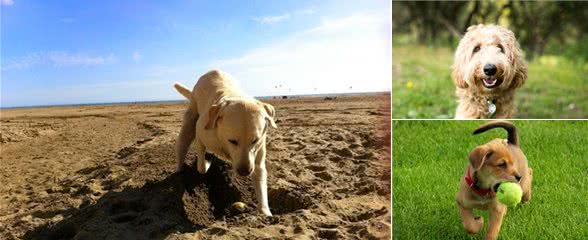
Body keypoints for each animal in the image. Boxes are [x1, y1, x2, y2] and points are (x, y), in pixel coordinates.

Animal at [173, 69, 276, 216]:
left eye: (255, 140)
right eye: (232, 141)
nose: (244, 171)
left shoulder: (258, 157)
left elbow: (260, 182)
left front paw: (266, 214)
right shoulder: (201, 132)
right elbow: (201, 166)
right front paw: (207, 161)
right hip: (189, 123)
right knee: (182, 146)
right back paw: (179, 174)